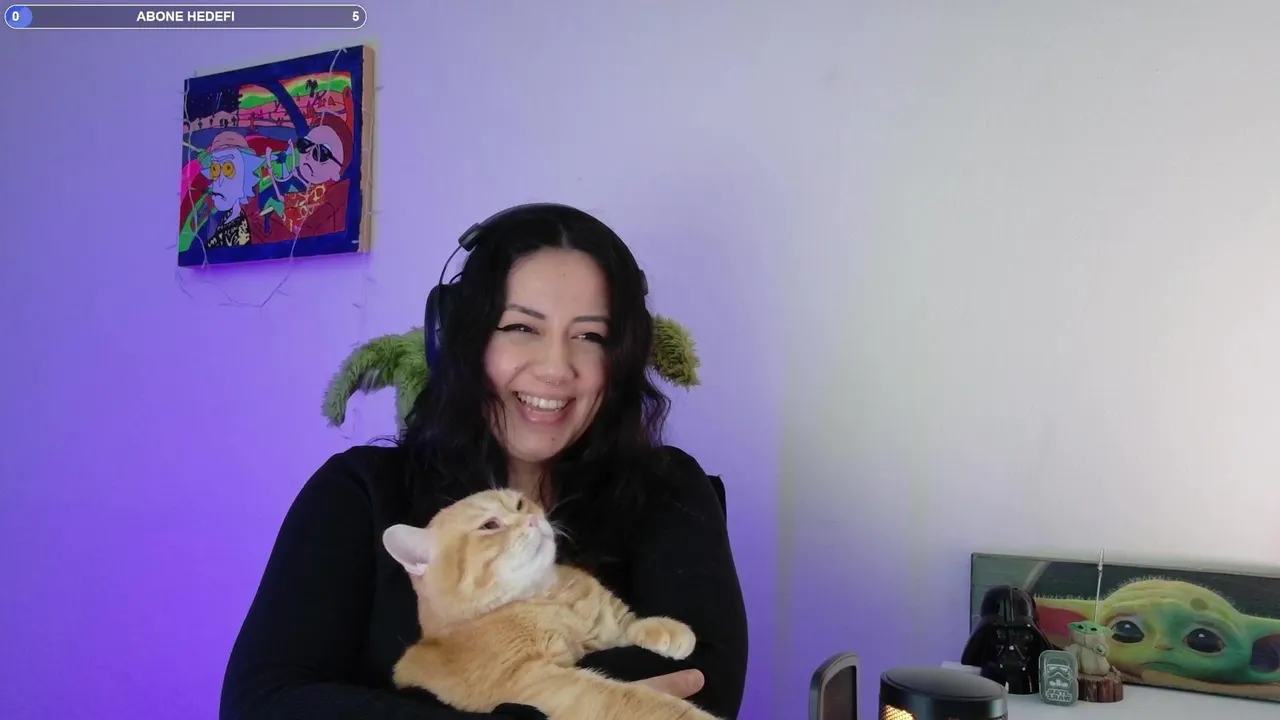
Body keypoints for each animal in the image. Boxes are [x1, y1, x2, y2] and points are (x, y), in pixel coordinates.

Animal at [382, 488, 722, 720]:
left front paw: (669, 631)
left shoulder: (607, 627)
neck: (552, 596)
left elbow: (631, 625)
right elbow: (633, 702)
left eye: (520, 504)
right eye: (490, 525)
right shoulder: (541, 681)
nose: (532, 518)